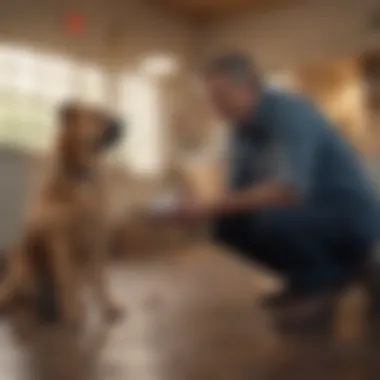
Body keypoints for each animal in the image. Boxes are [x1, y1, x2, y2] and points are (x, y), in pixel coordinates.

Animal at [0, 101, 124, 330]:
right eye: (99, 115)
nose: (125, 121)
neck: (81, 174)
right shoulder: (59, 239)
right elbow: (67, 277)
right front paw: (73, 314)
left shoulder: (98, 239)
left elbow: (101, 277)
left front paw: (109, 306)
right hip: (23, 270)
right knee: (13, 297)